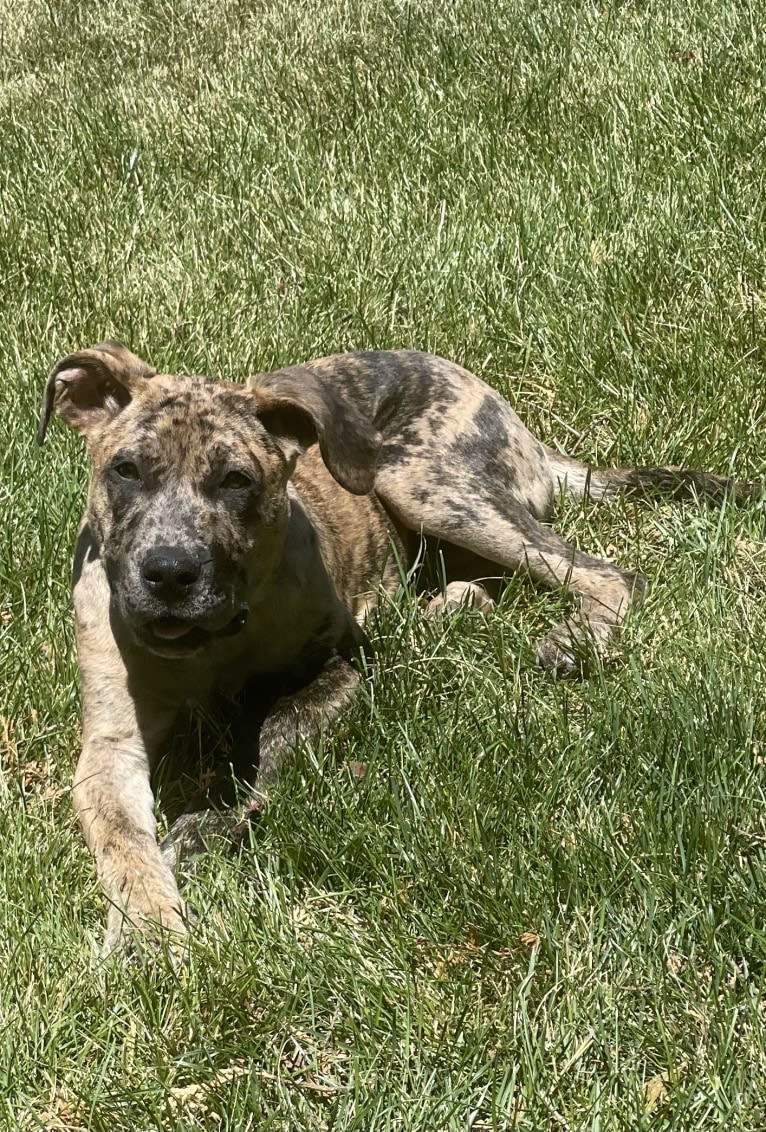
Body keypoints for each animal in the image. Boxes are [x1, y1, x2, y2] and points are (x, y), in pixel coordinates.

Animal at [38, 339, 755, 950]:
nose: (169, 574)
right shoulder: (110, 744)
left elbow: (276, 745)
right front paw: (146, 921)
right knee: (485, 581)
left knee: (603, 572)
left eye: (237, 481)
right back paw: (440, 614)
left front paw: (206, 830)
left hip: (422, 480)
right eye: (126, 470)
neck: (213, 647)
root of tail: (515, 419)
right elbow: (122, 837)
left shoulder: (338, 664)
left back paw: (574, 636)